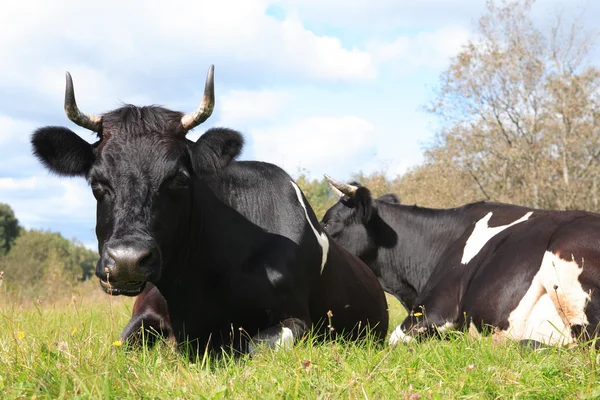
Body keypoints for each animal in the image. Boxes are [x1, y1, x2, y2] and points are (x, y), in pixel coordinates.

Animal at [29, 68, 390, 356]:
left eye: (179, 178)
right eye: (97, 182)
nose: (128, 261)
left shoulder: (297, 319)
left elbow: (253, 346)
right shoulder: (143, 313)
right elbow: (119, 347)